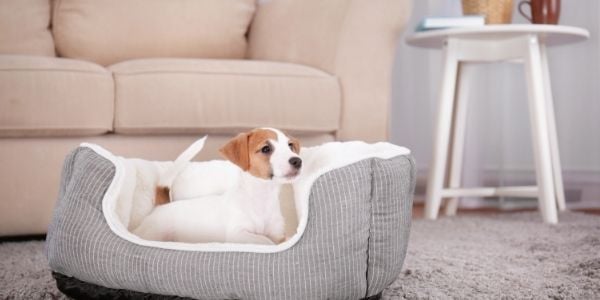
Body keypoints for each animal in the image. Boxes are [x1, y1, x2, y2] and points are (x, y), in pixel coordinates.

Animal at [131, 127, 300, 245]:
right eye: (266, 149)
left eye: (290, 146)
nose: (297, 161)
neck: (261, 198)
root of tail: (161, 206)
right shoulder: (237, 233)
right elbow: (265, 241)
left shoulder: (278, 234)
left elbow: (277, 240)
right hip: (153, 232)